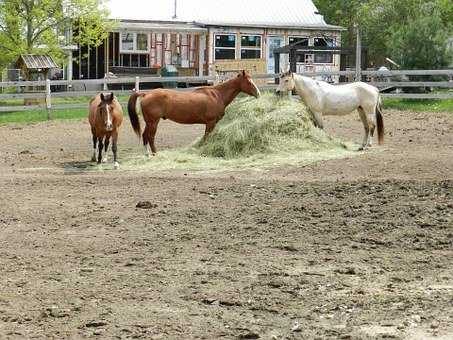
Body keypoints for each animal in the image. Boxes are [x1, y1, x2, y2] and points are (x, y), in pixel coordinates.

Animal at [127, 70, 262, 155]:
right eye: (249, 82)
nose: (258, 94)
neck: (217, 94)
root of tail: (146, 94)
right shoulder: (210, 123)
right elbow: (207, 137)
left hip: (149, 122)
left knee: (145, 136)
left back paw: (147, 154)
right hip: (153, 122)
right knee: (150, 137)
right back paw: (155, 153)